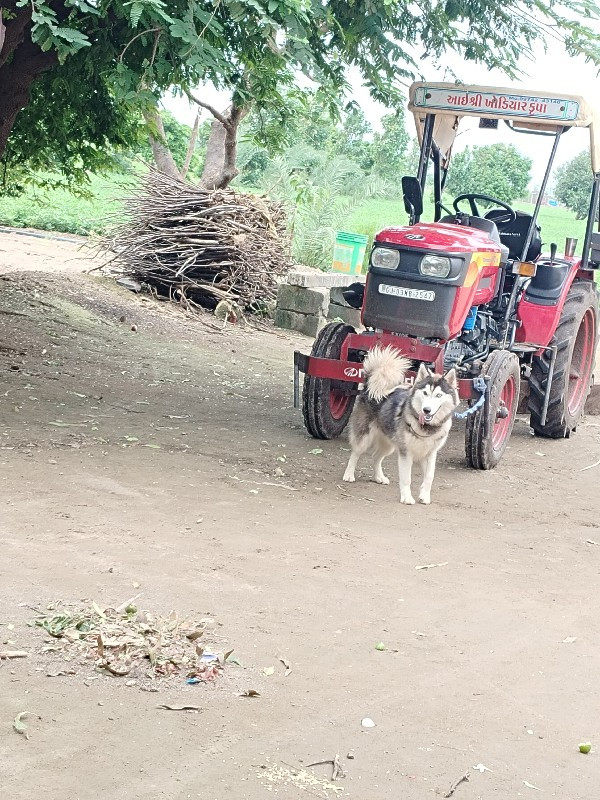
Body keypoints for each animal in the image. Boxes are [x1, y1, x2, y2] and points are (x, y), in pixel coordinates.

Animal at [342, 346, 460, 506]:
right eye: (425, 393)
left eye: (439, 395)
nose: (426, 410)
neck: (425, 427)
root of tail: (368, 386)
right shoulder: (406, 453)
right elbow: (406, 478)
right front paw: (407, 497)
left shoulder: (430, 454)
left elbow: (429, 477)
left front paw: (424, 496)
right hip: (364, 436)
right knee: (355, 453)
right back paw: (349, 474)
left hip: (389, 443)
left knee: (376, 456)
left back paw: (378, 477)